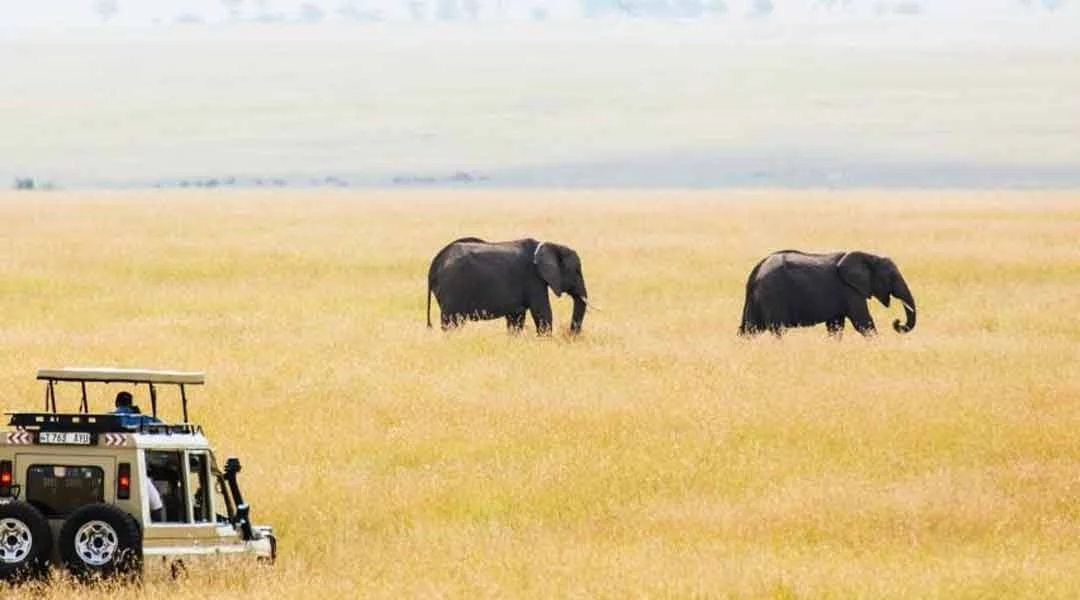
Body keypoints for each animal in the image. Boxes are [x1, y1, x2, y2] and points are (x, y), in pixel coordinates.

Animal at [426, 237, 589, 334]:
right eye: (576, 271)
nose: (571, 335)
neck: (551, 245)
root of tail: (435, 263)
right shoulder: (533, 278)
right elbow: (542, 312)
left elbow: (516, 317)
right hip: (453, 287)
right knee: (451, 322)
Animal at [738, 250, 916, 337]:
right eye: (892, 277)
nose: (897, 322)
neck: (869, 255)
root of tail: (756, 270)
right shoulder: (850, 290)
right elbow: (863, 324)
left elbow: (835, 326)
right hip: (773, 294)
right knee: (777, 329)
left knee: (749, 329)